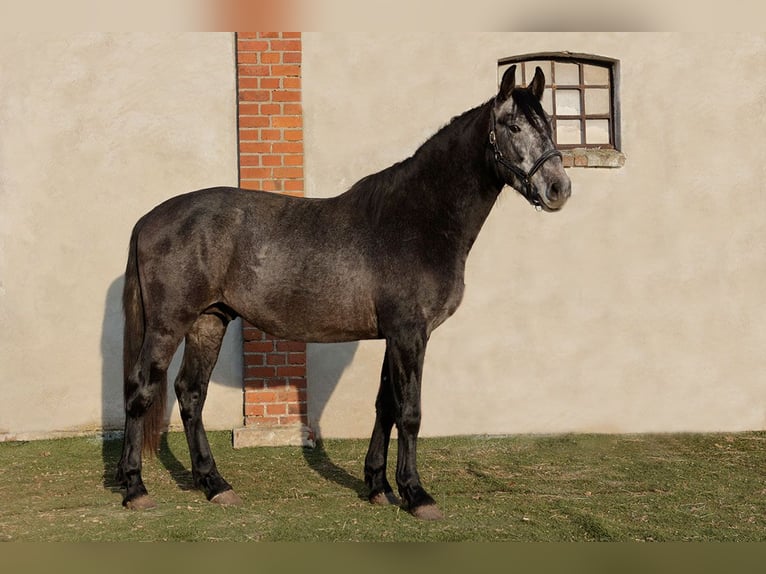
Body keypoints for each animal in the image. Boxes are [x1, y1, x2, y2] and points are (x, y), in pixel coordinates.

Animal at [116, 64, 571, 520]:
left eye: (549, 125)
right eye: (513, 126)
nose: (559, 189)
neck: (417, 220)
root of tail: (149, 218)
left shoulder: (396, 336)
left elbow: (386, 406)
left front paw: (378, 486)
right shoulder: (410, 334)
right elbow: (409, 412)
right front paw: (416, 494)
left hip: (209, 321)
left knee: (190, 394)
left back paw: (214, 484)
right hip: (168, 324)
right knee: (142, 390)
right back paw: (136, 488)